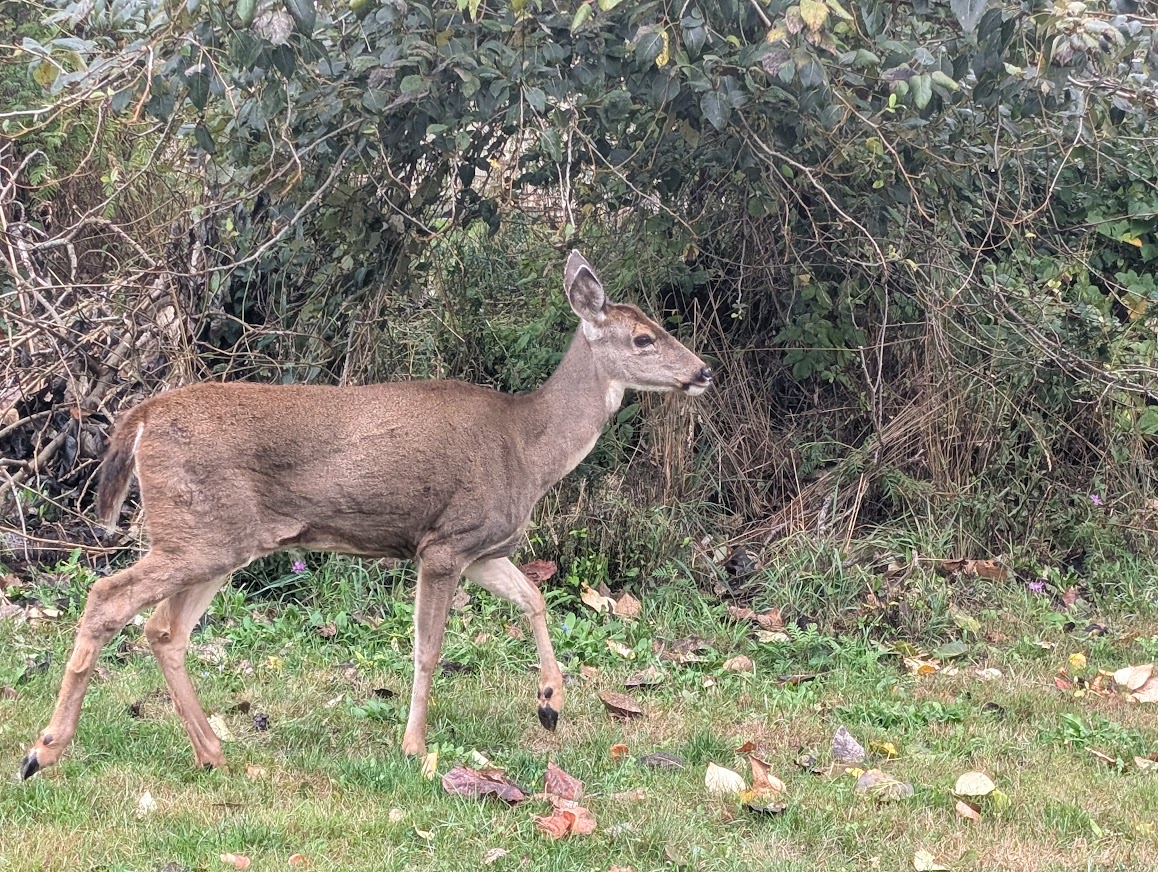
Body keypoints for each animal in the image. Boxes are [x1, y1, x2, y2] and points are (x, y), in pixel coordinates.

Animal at [17, 250, 713, 779]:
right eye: (644, 338)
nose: (703, 371)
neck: (529, 448)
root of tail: (141, 417)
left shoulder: (481, 548)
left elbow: (535, 599)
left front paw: (550, 704)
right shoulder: (444, 544)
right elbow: (428, 649)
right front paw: (415, 747)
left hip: (218, 538)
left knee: (164, 629)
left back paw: (213, 751)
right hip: (197, 533)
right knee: (107, 597)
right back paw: (43, 751)